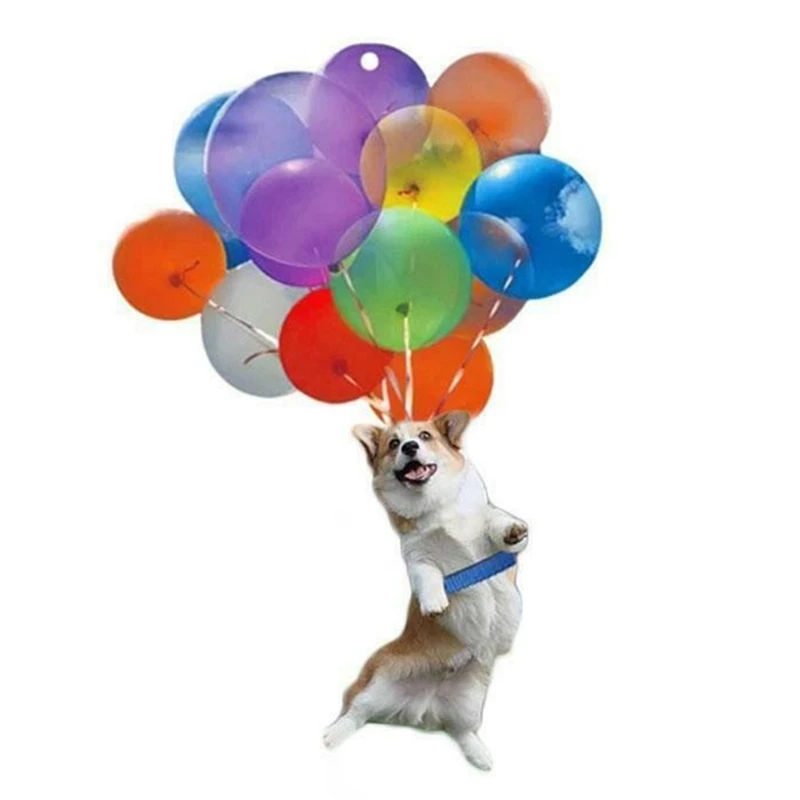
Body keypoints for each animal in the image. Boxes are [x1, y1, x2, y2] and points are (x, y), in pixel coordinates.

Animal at [323, 410, 528, 770]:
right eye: (393, 443)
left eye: (424, 436)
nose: (409, 446)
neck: (437, 507)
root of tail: (422, 709)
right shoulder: (416, 555)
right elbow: (427, 573)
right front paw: (434, 601)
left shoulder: (491, 536)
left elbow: (495, 521)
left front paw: (512, 529)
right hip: (375, 681)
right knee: (355, 713)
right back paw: (332, 736)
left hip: (470, 701)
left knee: (462, 731)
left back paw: (480, 755)